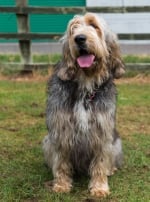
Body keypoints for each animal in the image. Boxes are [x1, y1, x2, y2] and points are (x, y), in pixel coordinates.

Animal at [42, 13, 125, 197]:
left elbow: (100, 162)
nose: (79, 38)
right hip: (47, 141)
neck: (85, 86)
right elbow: (61, 162)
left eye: (94, 25)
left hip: (115, 143)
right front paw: (61, 185)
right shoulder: (60, 130)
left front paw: (100, 187)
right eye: (73, 28)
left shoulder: (102, 132)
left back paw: (110, 169)